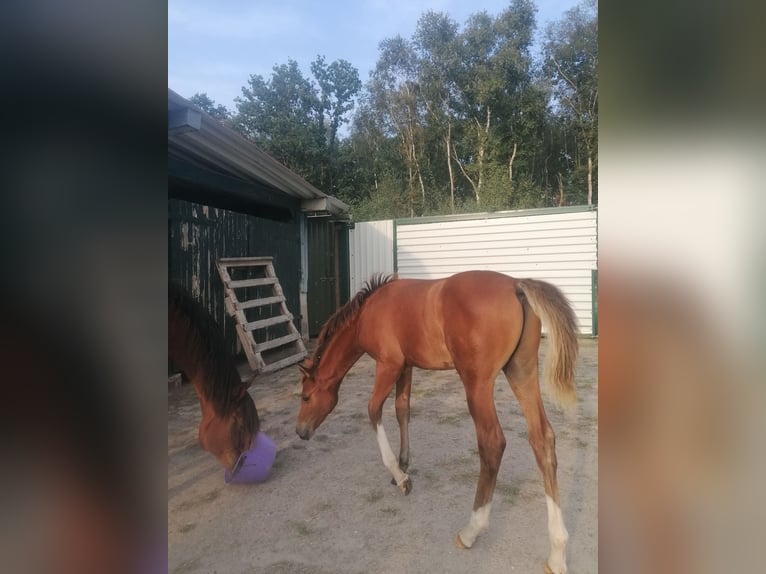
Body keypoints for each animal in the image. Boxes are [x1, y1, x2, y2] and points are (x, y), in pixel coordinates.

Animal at [295, 270, 579, 574]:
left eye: (306, 396)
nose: (300, 432)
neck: (368, 312)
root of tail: (516, 285)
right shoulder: (406, 366)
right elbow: (402, 409)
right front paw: (403, 465)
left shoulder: (388, 364)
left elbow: (373, 411)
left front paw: (400, 476)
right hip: (521, 372)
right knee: (542, 439)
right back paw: (557, 552)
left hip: (477, 384)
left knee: (492, 444)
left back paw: (471, 530)